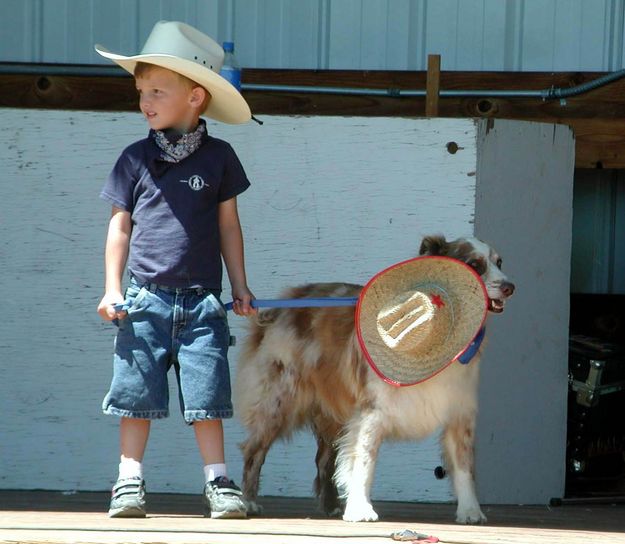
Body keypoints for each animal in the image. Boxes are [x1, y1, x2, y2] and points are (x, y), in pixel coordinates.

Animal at [234, 236, 512, 524]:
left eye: (499, 262)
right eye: (475, 265)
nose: (509, 287)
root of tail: (280, 306)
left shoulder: (459, 411)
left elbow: (464, 466)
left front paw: (470, 511)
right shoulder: (372, 412)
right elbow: (363, 461)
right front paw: (360, 509)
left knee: (324, 459)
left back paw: (331, 506)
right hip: (279, 402)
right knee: (254, 451)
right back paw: (249, 501)